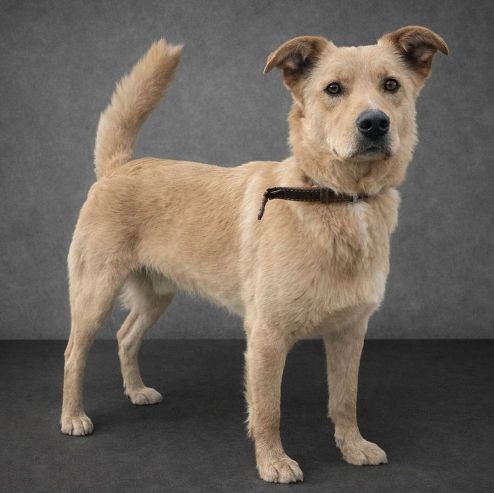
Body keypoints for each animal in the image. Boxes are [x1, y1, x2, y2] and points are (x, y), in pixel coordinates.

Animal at [61, 26, 448, 483]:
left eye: (391, 85)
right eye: (333, 89)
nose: (374, 123)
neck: (335, 198)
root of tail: (120, 166)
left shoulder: (350, 332)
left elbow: (345, 399)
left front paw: (353, 447)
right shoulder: (267, 336)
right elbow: (268, 410)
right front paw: (273, 462)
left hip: (157, 294)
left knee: (126, 336)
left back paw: (136, 390)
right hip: (94, 293)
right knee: (74, 353)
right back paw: (73, 417)